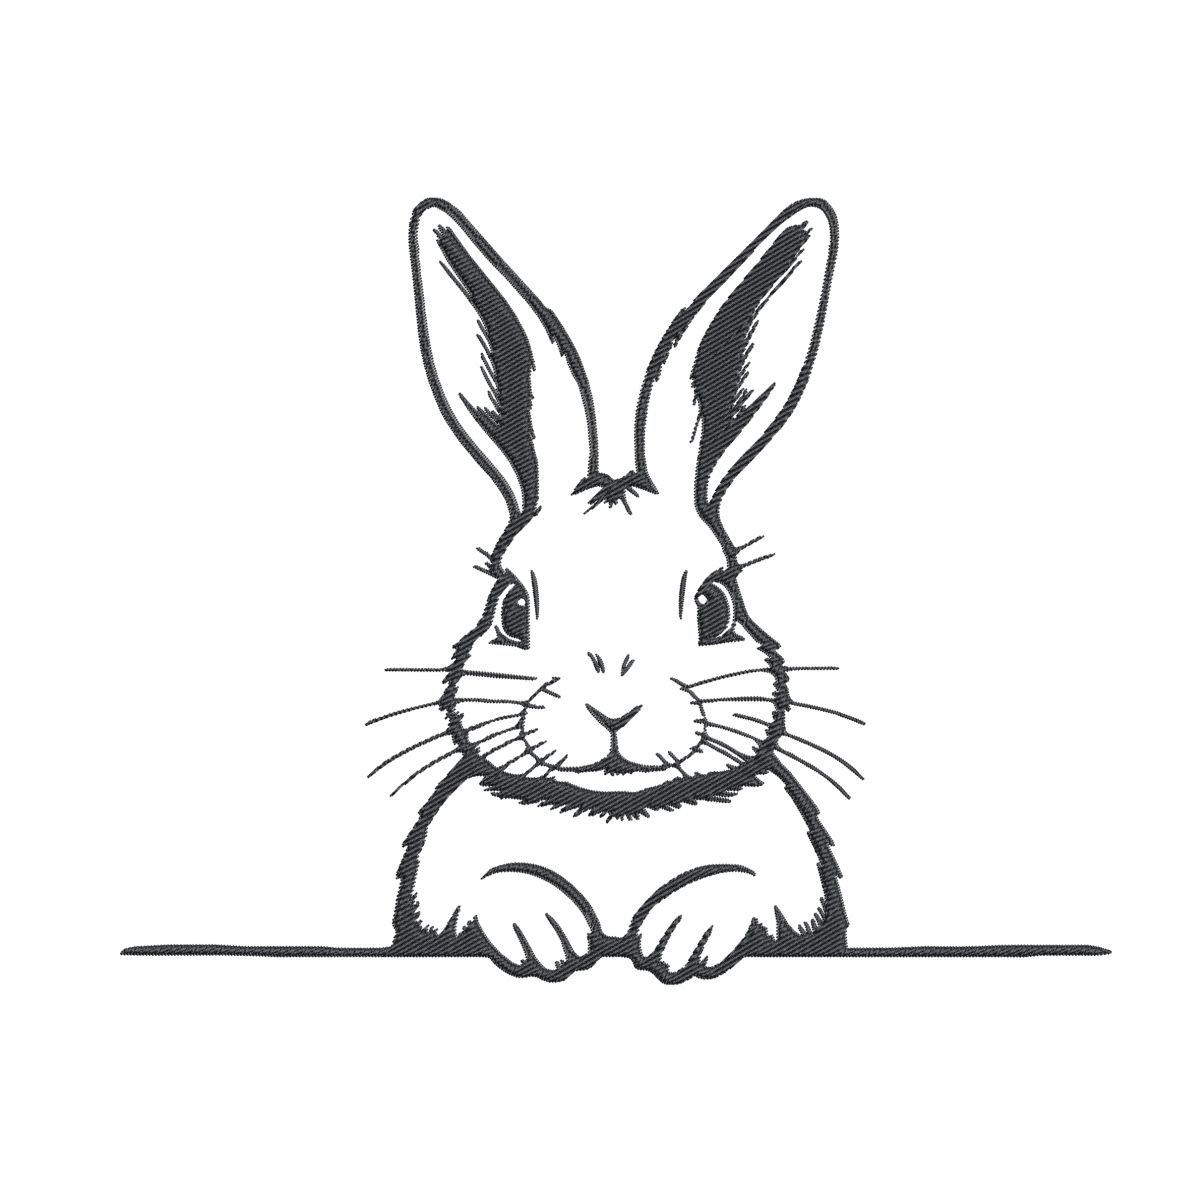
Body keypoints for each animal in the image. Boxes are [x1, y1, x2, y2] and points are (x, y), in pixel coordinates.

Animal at [388, 197, 853, 982]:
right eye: (513, 610)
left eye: (715, 607)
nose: (613, 709)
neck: (616, 814)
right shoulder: (442, 880)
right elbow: (493, 884)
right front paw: (544, 930)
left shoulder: (792, 885)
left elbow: (742, 885)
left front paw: (684, 932)